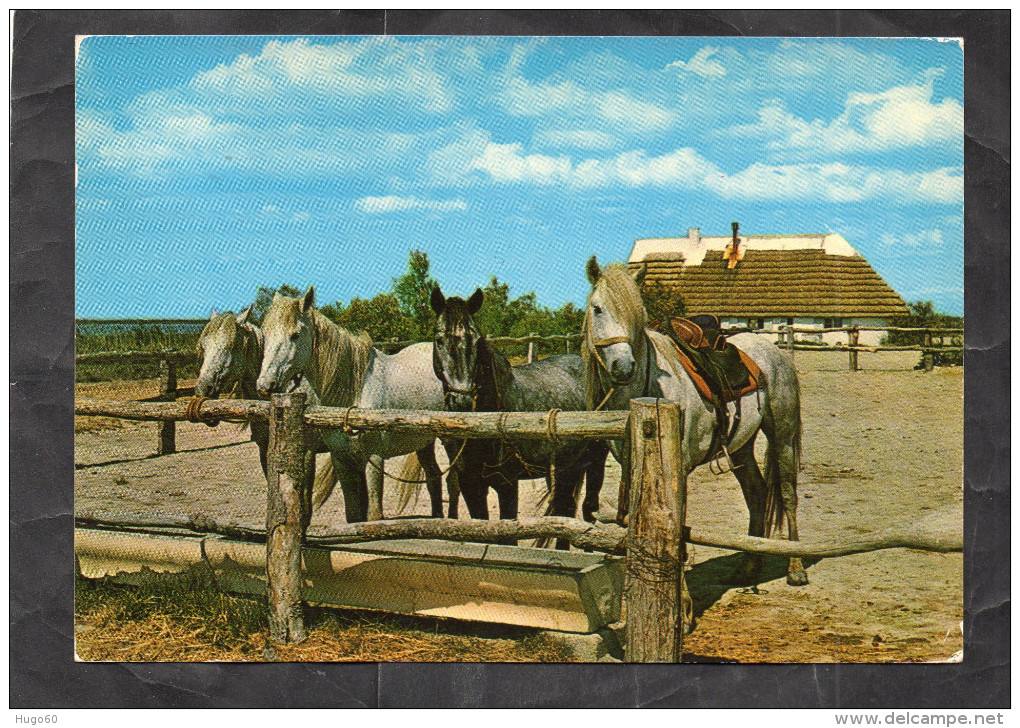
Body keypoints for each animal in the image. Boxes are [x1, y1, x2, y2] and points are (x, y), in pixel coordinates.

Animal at [255, 285, 446, 522]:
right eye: (265, 334)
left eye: (296, 334)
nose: (265, 384)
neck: (354, 392)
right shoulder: (343, 460)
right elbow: (353, 515)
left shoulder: (374, 460)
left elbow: (374, 515)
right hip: (425, 442)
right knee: (434, 476)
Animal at [583, 256, 811, 583]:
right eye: (597, 308)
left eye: (638, 312)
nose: (623, 366)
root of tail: (773, 351)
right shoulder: (632, 465)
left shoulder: (679, 465)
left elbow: (676, 524)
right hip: (741, 445)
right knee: (756, 492)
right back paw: (749, 566)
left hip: (783, 437)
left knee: (788, 494)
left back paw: (795, 567)